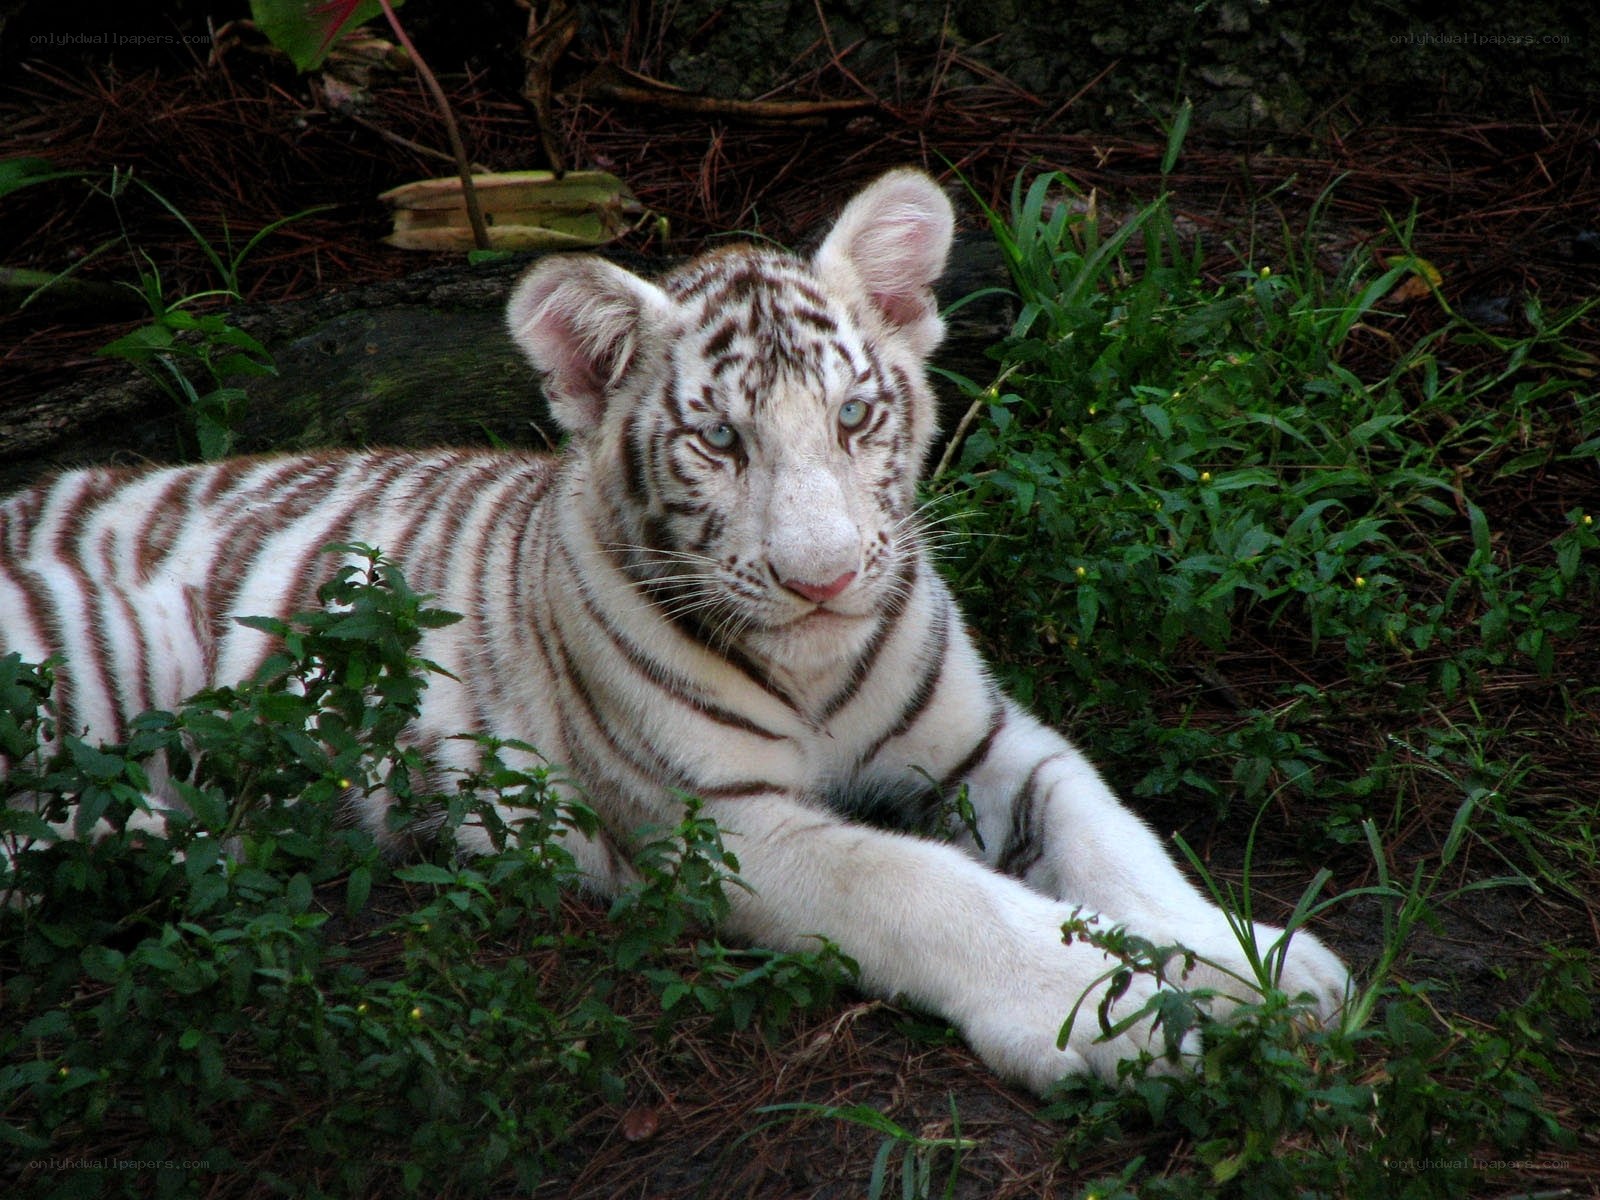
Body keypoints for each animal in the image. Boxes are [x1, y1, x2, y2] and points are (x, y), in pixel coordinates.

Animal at [0, 169, 1350, 1094]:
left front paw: (1259, 963)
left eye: (854, 416)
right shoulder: (727, 826)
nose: (822, 580)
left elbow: (1110, 832)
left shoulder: (984, 740)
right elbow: (928, 892)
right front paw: (1121, 1014)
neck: (815, 669)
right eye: (718, 440)